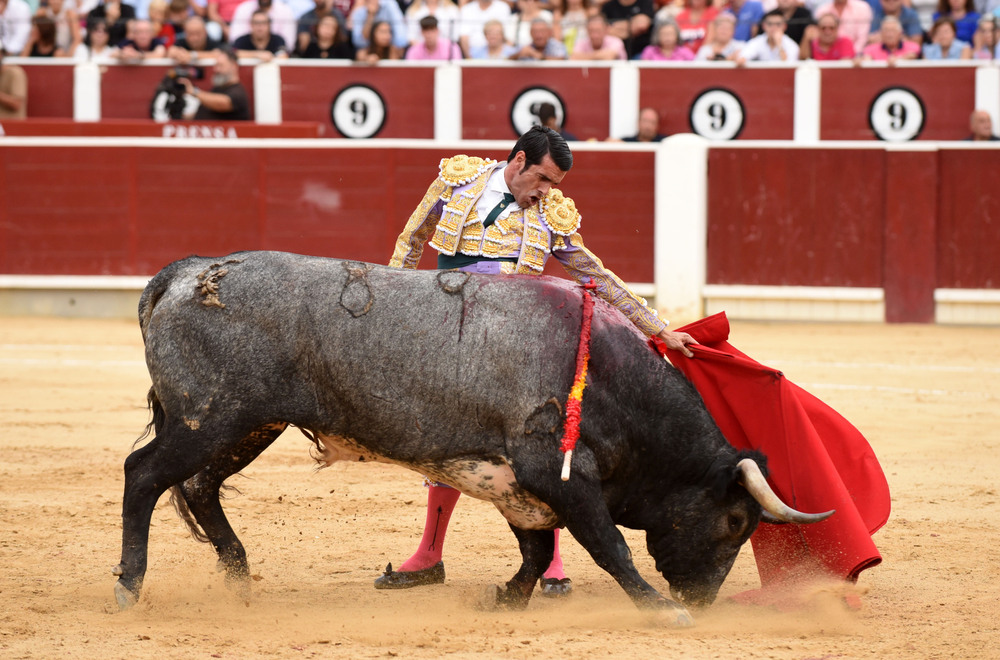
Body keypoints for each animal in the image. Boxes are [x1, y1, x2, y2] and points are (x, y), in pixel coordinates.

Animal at [115, 251, 836, 624]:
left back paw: (238, 577)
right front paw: (659, 609)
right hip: (212, 417)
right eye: (736, 520)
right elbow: (607, 546)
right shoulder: (557, 474)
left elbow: (535, 549)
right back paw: (130, 586)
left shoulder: (519, 484)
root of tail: (187, 273)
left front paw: (505, 600)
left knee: (199, 488)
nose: (703, 600)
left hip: (243, 425)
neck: (609, 377)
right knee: (143, 475)